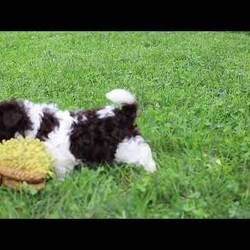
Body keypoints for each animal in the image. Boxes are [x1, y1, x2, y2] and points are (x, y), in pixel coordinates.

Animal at [0, 89, 156, 179]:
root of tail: (124, 115)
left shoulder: (61, 159)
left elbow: (61, 173)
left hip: (128, 146)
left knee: (144, 155)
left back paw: (150, 171)